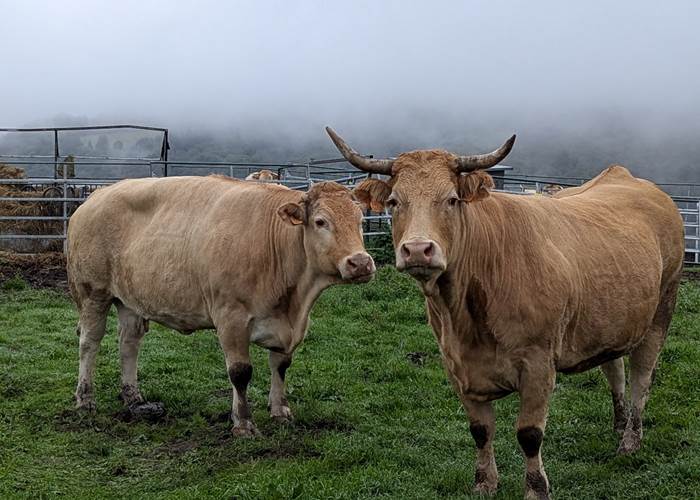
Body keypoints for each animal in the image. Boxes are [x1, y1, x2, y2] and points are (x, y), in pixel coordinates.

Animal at [66, 175, 376, 436]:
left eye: (360, 219)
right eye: (321, 222)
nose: (360, 263)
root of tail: (96, 196)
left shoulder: (289, 325)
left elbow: (281, 365)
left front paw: (280, 411)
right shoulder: (230, 317)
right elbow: (240, 372)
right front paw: (243, 423)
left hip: (130, 299)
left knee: (128, 342)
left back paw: (134, 398)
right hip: (93, 292)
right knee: (89, 342)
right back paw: (85, 399)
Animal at [326, 127, 684, 499]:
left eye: (451, 199)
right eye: (395, 202)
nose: (418, 249)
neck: (466, 318)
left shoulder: (539, 363)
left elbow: (529, 434)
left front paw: (537, 489)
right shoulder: (456, 365)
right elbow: (480, 429)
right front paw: (485, 482)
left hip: (663, 307)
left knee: (642, 376)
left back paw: (630, 439)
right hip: (609, 321)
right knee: (615, 369)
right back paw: (618, 424)